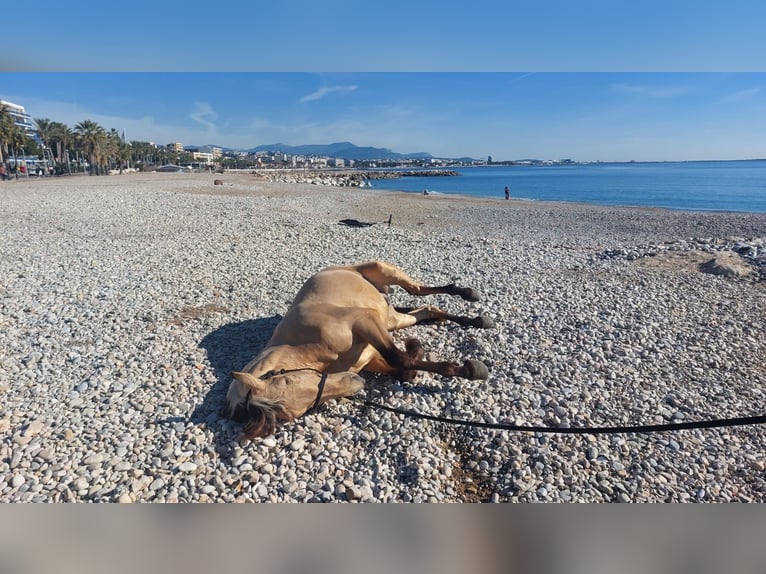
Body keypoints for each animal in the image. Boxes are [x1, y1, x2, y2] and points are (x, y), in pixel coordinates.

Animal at [225, 260, 496, 440]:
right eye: (302, 409)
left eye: (289, 380)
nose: (356, 383)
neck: (301, 345)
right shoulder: (371, 352)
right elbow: (404, 368)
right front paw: (416, 348)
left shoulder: (365, 321)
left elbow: (400, 359)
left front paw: (470, 369)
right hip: (392, 319)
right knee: (427, 309)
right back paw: (475, 320)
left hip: (385, 273)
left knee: (417, 290)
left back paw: (469, 295)